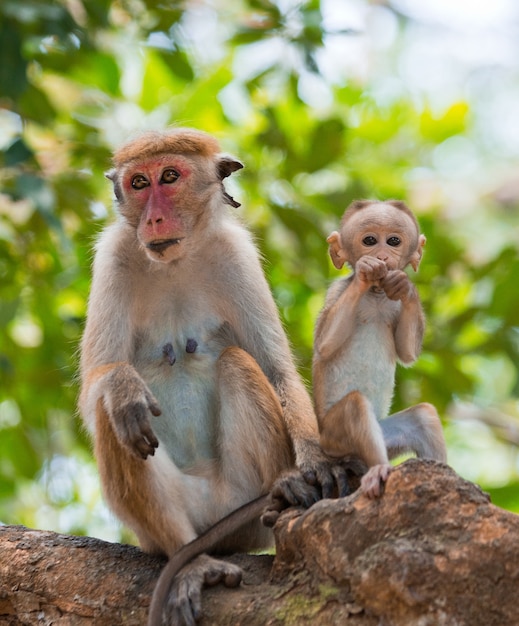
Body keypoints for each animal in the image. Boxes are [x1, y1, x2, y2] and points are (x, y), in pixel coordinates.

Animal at [79, 128, 352, 624]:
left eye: (170, 177)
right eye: (138, 183)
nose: (154, 218)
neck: (175, 260)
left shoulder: (236, 255)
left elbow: (276, 369)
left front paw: (316, 463)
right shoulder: (112, 256)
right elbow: (97, 387)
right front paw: (122, 386)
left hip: (241, 502)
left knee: (237, 361)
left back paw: (284, 486)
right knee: (118, 418)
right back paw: (191, 561)